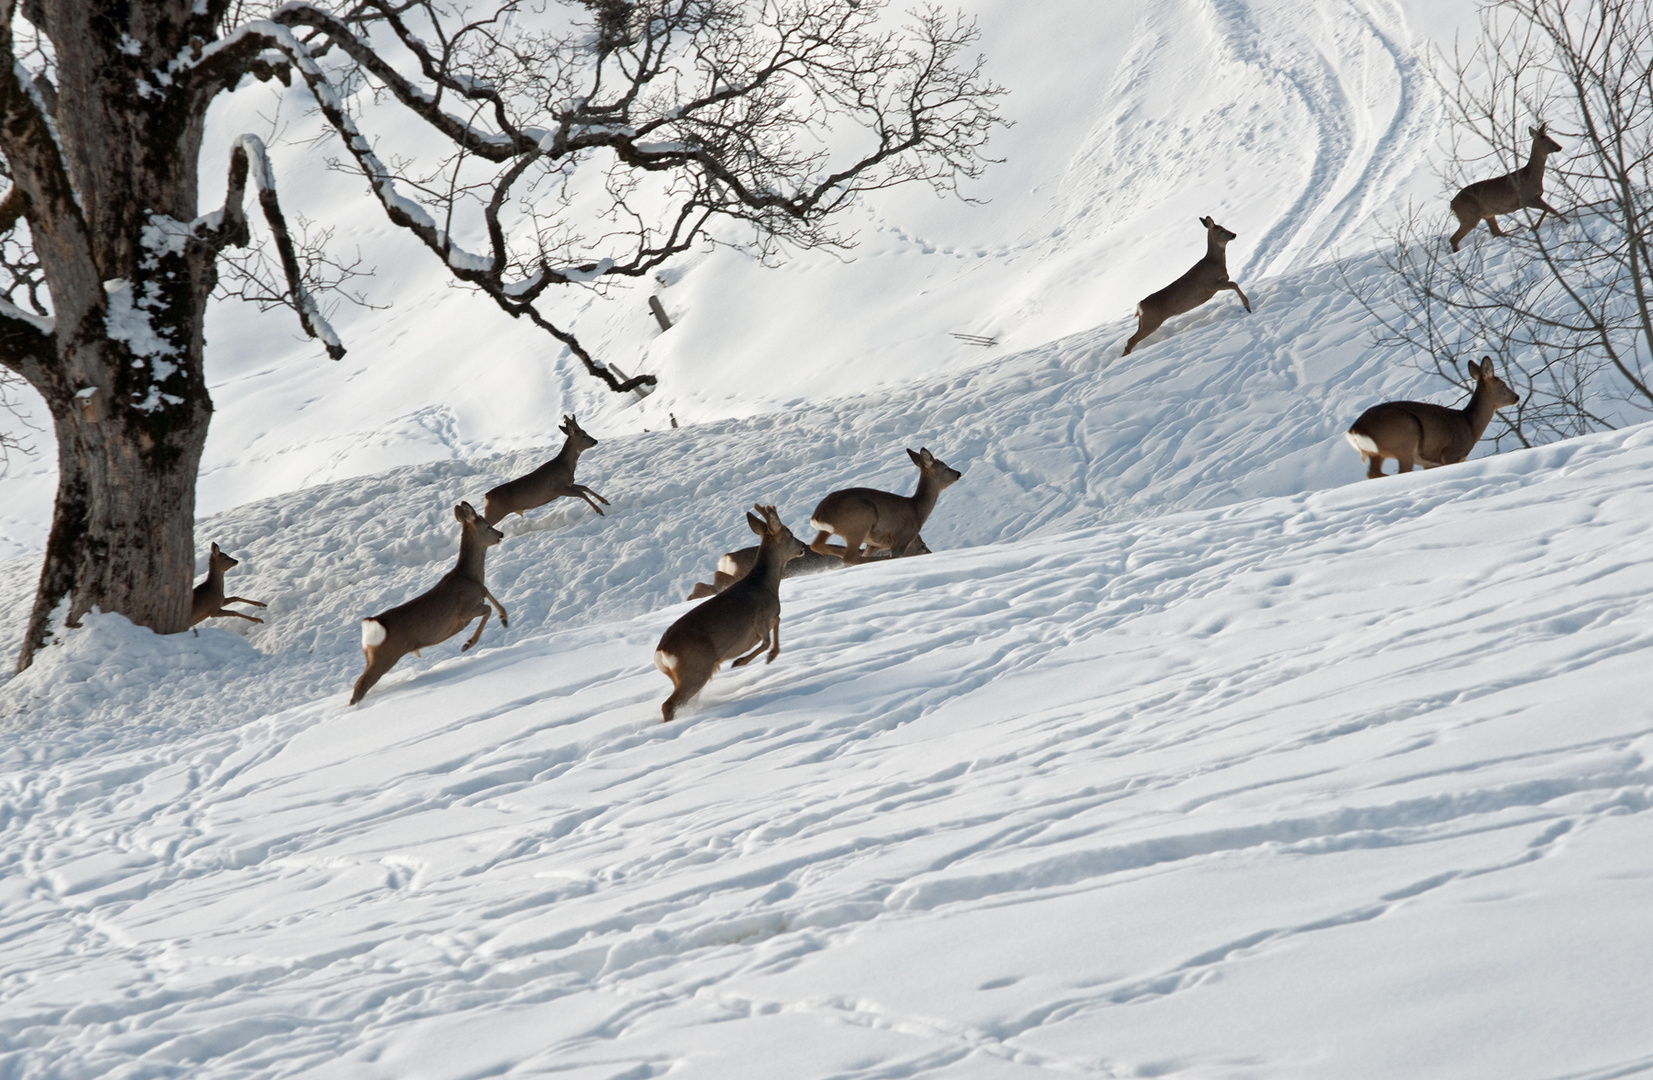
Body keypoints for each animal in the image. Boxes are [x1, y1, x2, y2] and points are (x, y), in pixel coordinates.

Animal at [347, 499, 502, 704]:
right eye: (488, 526)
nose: (501, 534)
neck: (470, 576)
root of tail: (371, 624)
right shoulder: (464, 613)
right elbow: (488, 609)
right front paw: (467, 644)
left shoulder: (479, 595)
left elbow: (490, 598)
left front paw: (504, 619)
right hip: (384, 657)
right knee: (359, 686)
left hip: (372, 657)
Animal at [806, 446, 965, 565]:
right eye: (945, 468)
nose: (958, 473)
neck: (917, 510)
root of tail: (817, 517)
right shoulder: (902, 538)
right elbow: (896, 554)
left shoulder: (875, 544)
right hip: (861, 521)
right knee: (850, 557)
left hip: (834, 530)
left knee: (818, 546)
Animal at [1124, 216, 1249, 357]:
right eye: (1221, 230)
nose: (1234, 234)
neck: (1215, 262)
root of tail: (1139, 306)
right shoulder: (1210, 285)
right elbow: (1234, 284)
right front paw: (1247, 306)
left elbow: (1234, 284)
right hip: (1151, 322)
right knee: (1130, 341)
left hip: (1143, 322)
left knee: (1131, 340)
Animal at [1348, 355, 1514, 479]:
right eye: (1504, 384)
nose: (1516, 397)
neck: (1469, 425)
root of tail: (1355, 429)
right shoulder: (1451, 453)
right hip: (1406, 437)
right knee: (1401, 471)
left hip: (1378, 452)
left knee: (1372, 473)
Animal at [1448, 124, 1560, 253]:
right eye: (1543, 137)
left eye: (1549, 136)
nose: (1559, 147)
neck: (1530, 175)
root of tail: (1452, 204)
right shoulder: (1525, 199)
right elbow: (1548, 209)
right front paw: (1534, 228)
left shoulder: (1537, 197)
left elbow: (1551, 209)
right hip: (1469, 217)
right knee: (1453, 239)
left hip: (1488, 214)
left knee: (1496, 232)